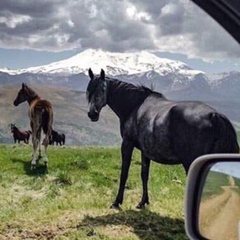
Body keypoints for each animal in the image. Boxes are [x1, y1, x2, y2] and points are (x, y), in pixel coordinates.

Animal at [86, 68, 238, 209]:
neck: (134, 107)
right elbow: (144, 174)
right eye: (89, 90)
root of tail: (214, 116)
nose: (92, 114)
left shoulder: (127, 144)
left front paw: (117, 202)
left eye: (102, 89)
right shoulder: (145, 151)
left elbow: (124, 173)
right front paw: (143, 202)